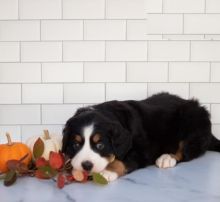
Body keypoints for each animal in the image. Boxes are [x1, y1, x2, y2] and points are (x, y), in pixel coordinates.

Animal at [61, 93, 220, 183]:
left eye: (100, 145)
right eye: (76, 145)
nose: (86, 165)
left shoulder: (141, 150)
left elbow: (121, 161)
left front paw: (107, 172)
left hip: (191, 121)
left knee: (187, 150)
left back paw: (167, 158)